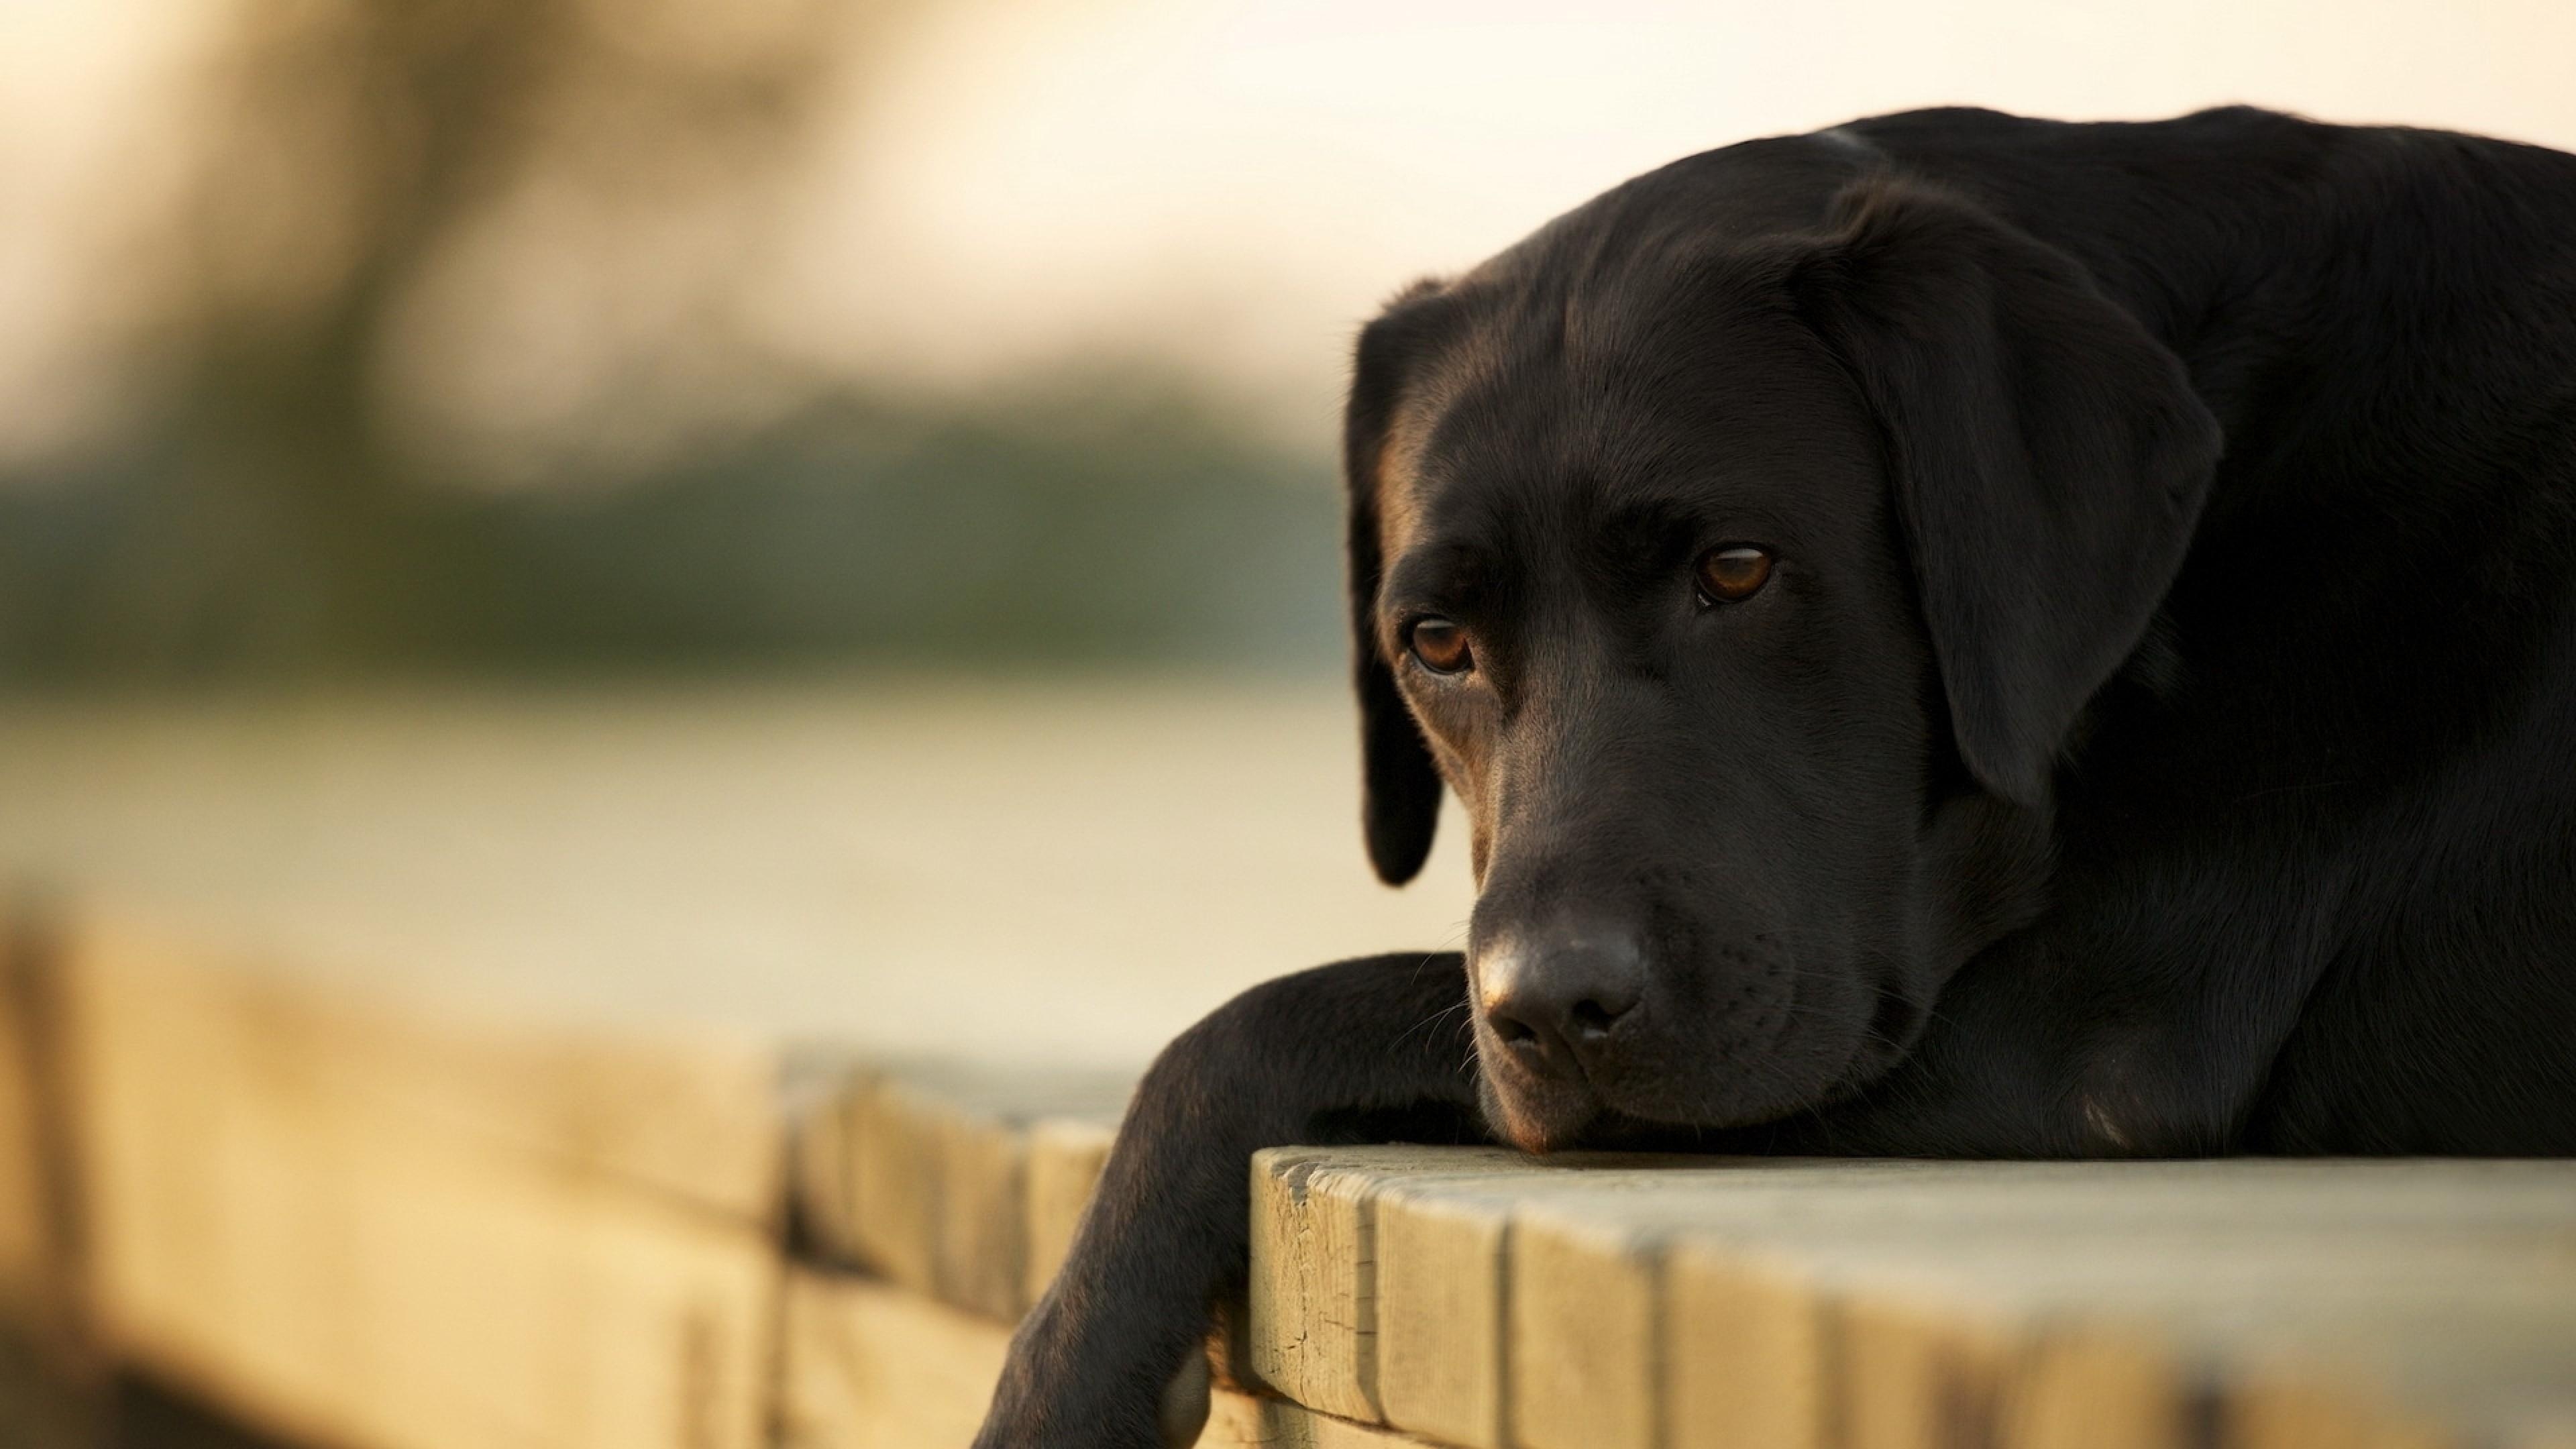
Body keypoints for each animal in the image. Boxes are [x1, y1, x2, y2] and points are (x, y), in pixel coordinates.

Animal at [968, 107, 2576, 1433]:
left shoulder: (2084, 1037)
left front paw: (1069, 1378)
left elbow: (1252, 1020)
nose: (1550, 1007)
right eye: (1435, 641)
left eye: (1736, 569)